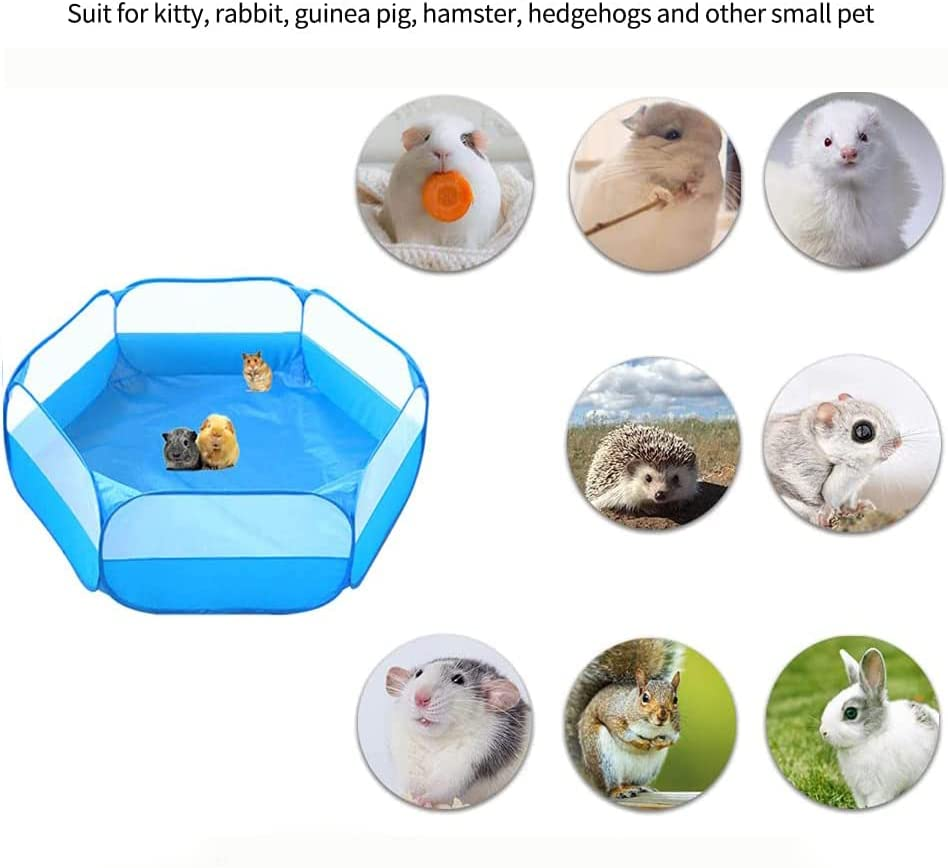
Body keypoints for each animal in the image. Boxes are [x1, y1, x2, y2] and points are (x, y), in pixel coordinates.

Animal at [385, 657, 531, 807]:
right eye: (418, 673)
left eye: (458, 679)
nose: (420, 698)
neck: (433, 742)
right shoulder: (405, 750)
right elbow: (409, 781)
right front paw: (410, 796)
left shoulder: (478, 753)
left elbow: (449, 786)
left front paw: (426, 799)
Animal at [575, 101, 725, 272]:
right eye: (672, 135)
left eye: (718, 149)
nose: (700, 175)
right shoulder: (627, 187)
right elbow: (646, 192)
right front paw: (662, 195)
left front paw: (693, 190)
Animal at [764, 393, 902, 526]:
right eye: (863, 431)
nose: (898, 442)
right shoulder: (799, 462)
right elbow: (811, 493)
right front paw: (823, 512)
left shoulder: (854, 485)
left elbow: (850, 498)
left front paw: (855, 507)